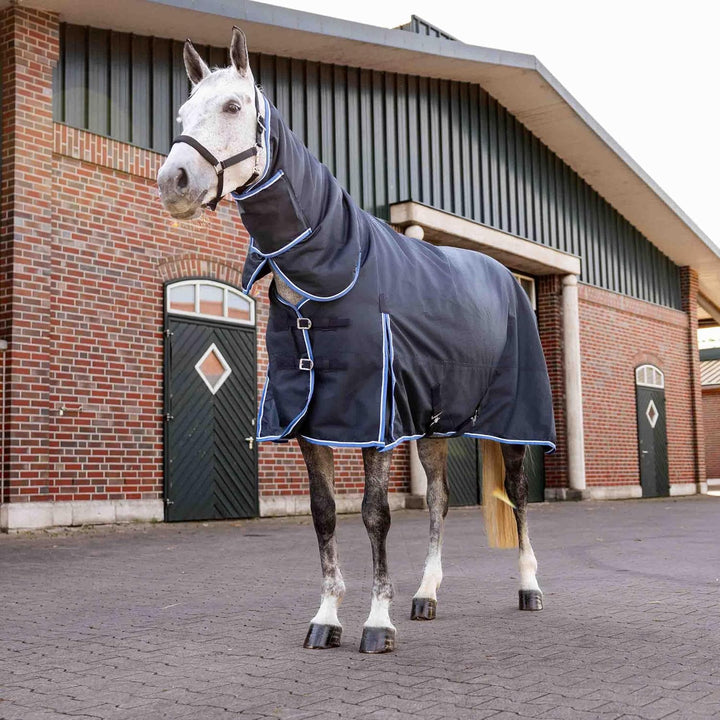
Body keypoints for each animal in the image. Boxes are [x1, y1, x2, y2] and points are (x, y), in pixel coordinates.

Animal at [157, 27, 556, 654]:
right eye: (182, 113)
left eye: (234, 107)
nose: (173, 183)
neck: (329, 275)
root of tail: (507, 278)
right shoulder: (310, 419)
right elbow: (324, 514)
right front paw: (326, 619)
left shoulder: (375, 419)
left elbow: (375, 515)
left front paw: (377, 624)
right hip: (434, 424)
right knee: (440, 500)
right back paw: (426, 596)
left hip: (514, 423)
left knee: (516, 494)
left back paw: (529, 588)